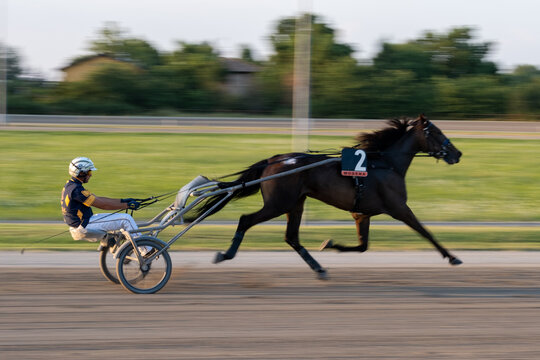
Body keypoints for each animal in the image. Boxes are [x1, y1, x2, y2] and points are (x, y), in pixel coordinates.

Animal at [185, 115, 460, 278]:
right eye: (437, 132)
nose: (457, 153)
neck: (386, 164)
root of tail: (274, 160)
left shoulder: (362, 213)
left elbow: (362, 246)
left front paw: (330, 244)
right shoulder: (399, 207)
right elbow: (425, 231)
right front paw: (452, 257)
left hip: (295, 204)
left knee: (291, 237)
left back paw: (318, 267)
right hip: (279, 203)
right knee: (245, 220)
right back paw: (225, 254)